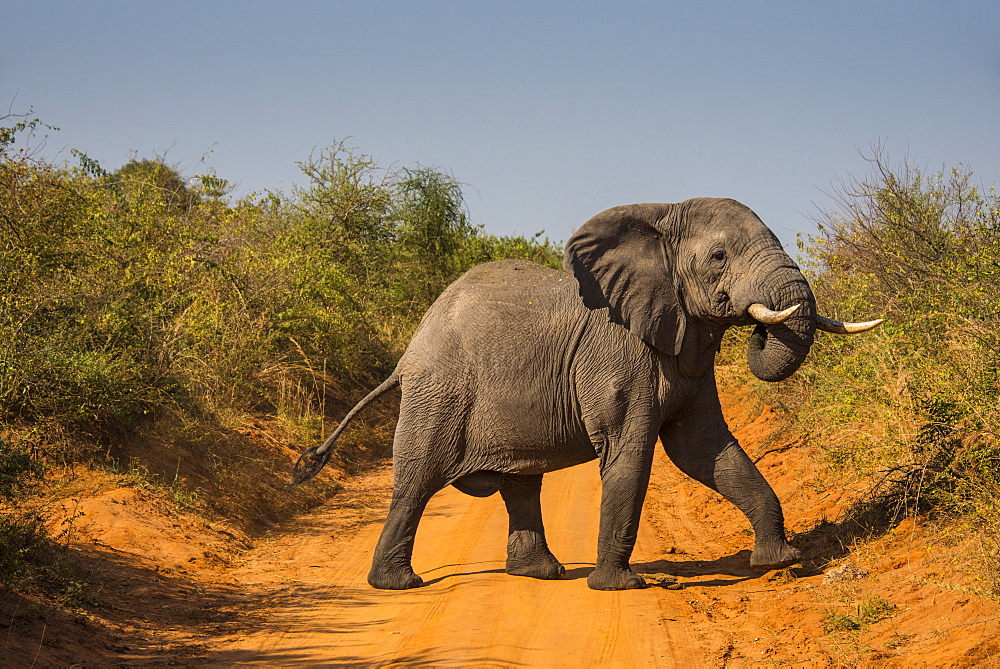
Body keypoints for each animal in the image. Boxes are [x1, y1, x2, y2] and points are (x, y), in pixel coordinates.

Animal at [292, 198, 884, 588]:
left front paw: (780, 560)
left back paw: (542, 575)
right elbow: (633, 454)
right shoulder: (618, 354)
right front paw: (619, 587)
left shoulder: (686, 349)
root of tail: (408, 353)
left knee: (520, 483)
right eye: (718, 257)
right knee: (417, 481)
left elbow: (705, 450)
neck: (658, 216)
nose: (759, 326)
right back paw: (398, 585)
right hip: (440, 394)